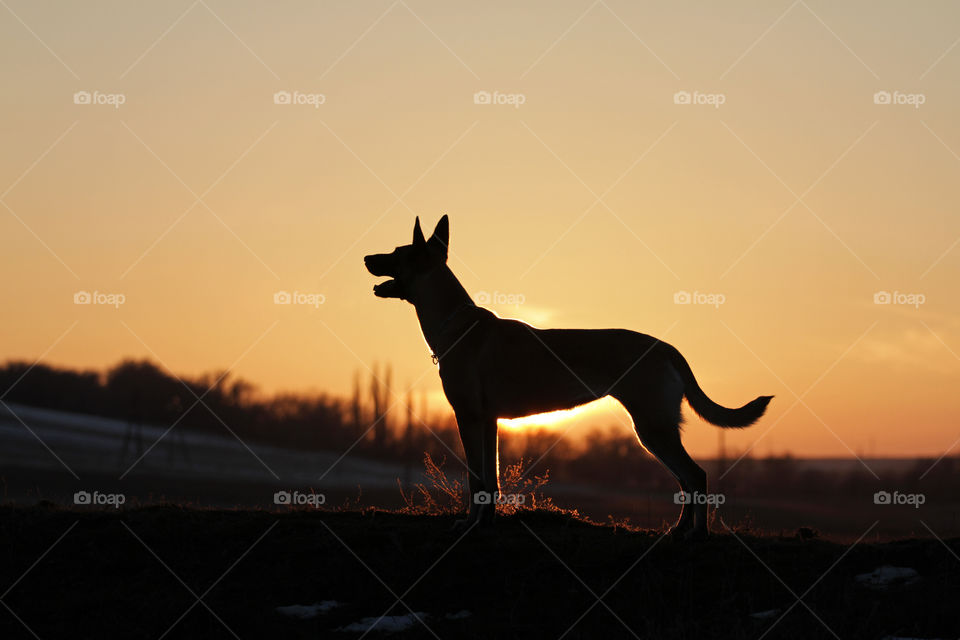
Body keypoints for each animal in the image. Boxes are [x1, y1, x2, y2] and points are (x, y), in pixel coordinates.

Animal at [362, 218, 772, 536]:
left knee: (696, 476)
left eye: (396, 253)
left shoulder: (469, 418)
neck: (455, 324)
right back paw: (679, 529)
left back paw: (698, 534)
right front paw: (485, 523)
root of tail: (665, 347)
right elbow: (489, 482)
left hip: (653, 427)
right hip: (655, 430)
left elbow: (475, 477)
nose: (366, 257)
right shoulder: (489, 422)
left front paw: (470, 525)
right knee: (686, 480)